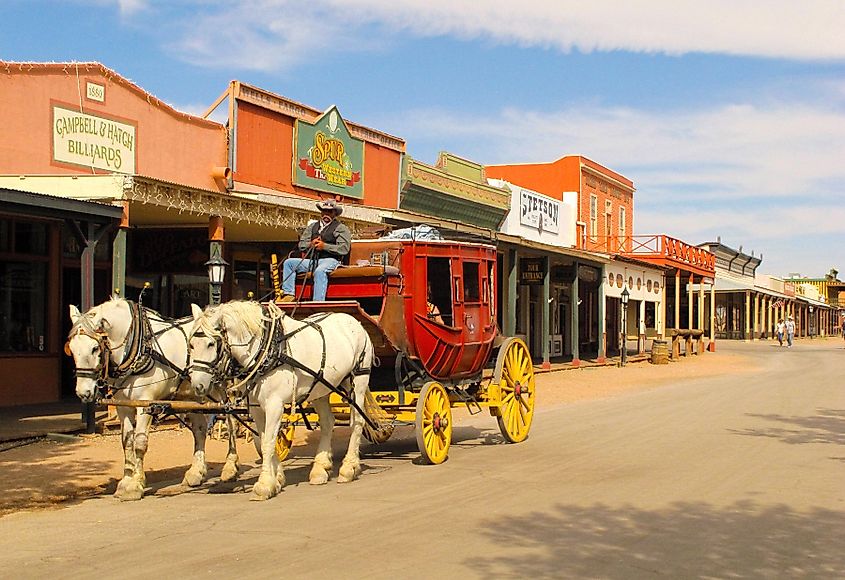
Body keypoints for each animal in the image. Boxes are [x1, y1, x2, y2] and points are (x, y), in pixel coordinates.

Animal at [68, 296, 241, 500]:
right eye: (71, 349)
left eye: (95, 348)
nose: (83, 392)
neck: (137, 347)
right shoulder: (123, 405)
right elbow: (127, 441)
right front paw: (126, 481)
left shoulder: (146, 404)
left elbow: (140, 443)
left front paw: (136, 485)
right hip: (193, 394)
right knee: (199, 429)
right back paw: (195, 473)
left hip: (222, 390)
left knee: (231, 420)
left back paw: (230, 467)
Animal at [187, 302, 386, 500]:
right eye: (191, 345)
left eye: (211, 343)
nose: (198, 385)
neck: (267, 351)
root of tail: (353, 320)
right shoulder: (256, 407)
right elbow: (265, 440)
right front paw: (277, 479)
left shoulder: (275, 404)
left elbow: (268, 442)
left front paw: (264, 485)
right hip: (321, 387)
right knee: (328, 422)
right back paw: (320, 469)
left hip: (358, 379)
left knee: (357, 421)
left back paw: (349, 468)